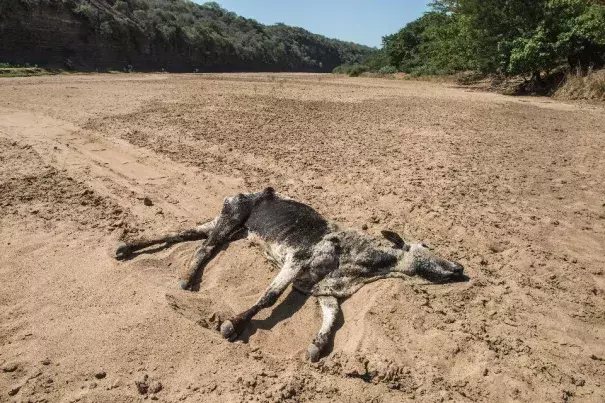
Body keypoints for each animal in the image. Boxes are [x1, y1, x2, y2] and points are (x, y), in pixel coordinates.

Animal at [117, 188, 468, 362]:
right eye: (425, 246)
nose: (460, 268)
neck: (357, 262)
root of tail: (257, 191)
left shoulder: (325, 292)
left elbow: (333, 320)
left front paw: (317, 346)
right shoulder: (295, 262)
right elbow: (269, 297)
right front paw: (233, 324)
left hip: (228, 225)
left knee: (183, 233)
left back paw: (128, 246)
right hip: (231, 218)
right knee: (204, 248)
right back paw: (188, 277)